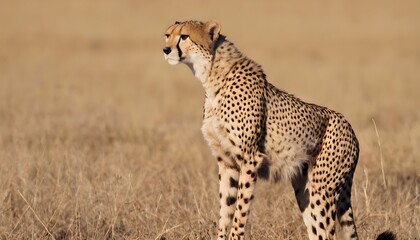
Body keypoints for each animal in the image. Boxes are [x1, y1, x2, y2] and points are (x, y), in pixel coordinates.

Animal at [162, 20, 396, 240]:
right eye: (167, 35)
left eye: (184, 36)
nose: (165, 50)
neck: (212, 75)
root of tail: (349, 127)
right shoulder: (227, 162)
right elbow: (225, 211)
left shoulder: (250, 158)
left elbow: (240, 211)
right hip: (305, 189)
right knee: (316, 231)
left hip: (323, 190)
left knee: (327, 233)